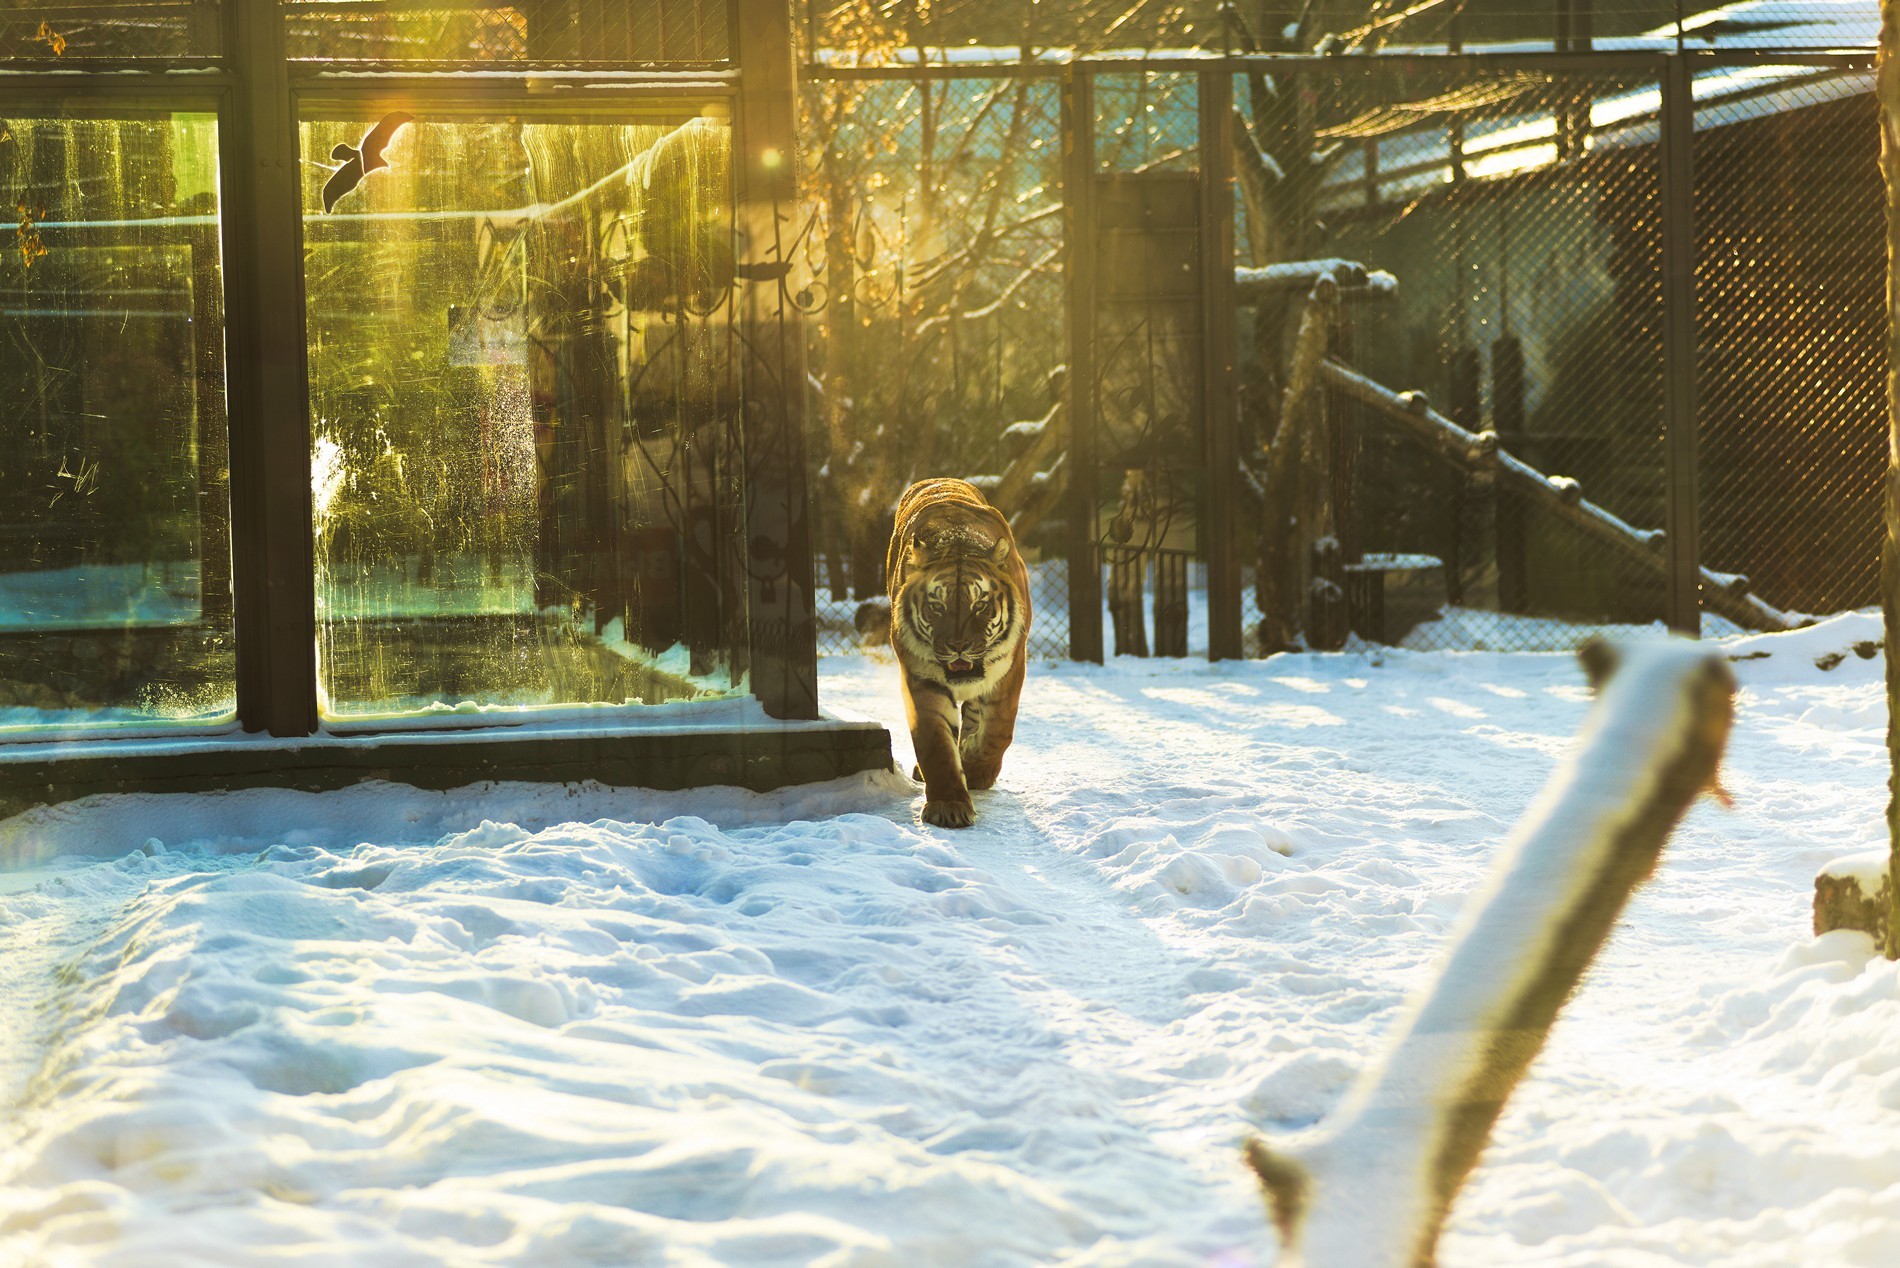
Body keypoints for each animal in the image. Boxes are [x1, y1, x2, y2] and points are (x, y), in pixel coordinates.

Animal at [885, 480, 1033, 828]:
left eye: (979, 605)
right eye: (937, 606)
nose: (958, 646)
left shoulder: (1011, 669)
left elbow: (998, 730)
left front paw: (978, 770)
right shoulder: (922, 678)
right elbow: (937, 744)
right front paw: (948, 806)